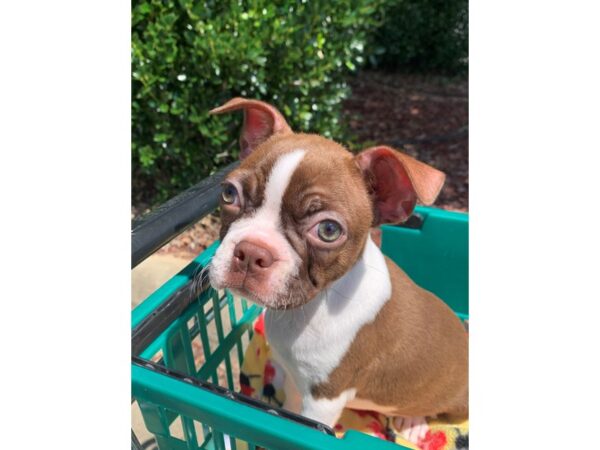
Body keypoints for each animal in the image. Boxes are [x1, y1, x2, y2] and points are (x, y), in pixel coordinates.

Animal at [209, 97, 466, 442]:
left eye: (328, 230)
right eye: (229, 193)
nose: (251, 252)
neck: (309, 308)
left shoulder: (323, 399)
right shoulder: (297, 381)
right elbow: (290, 410)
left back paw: (412, 422)